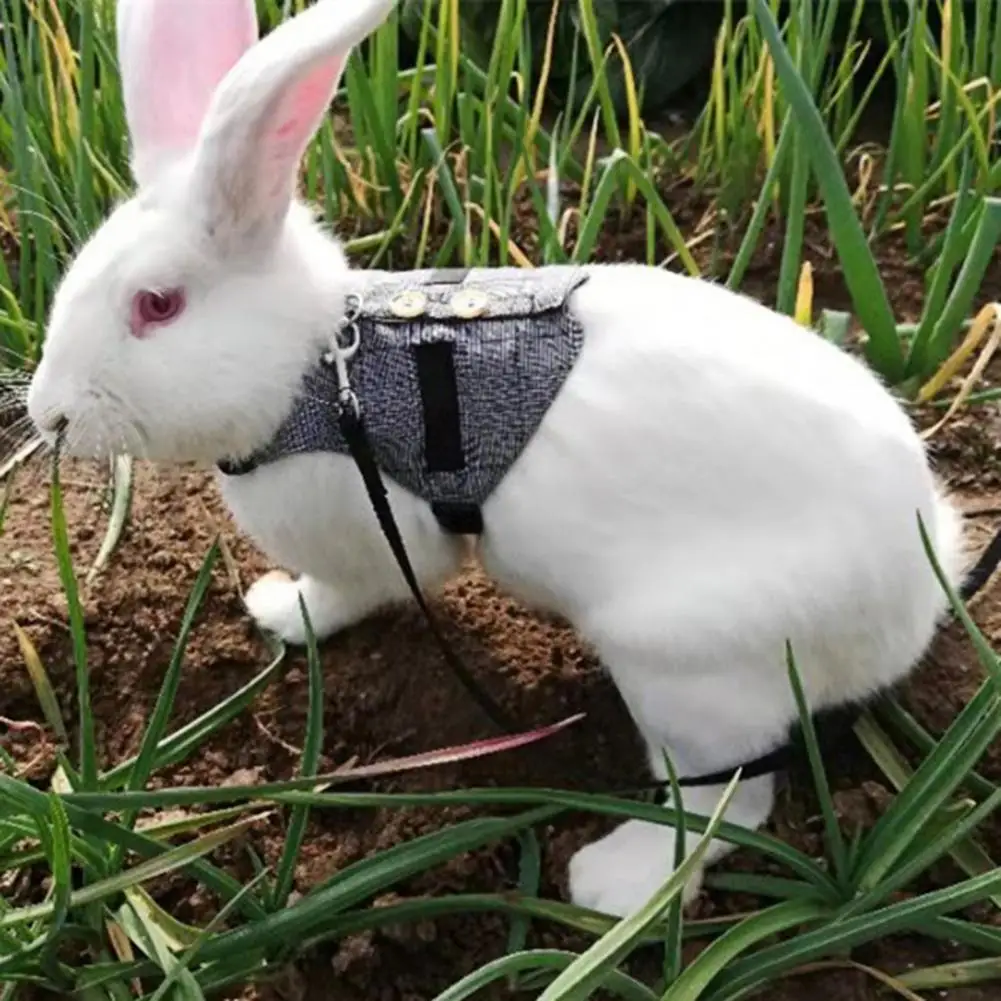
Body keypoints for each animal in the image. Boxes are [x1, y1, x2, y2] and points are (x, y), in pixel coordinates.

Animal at [26, 0, 966, 919]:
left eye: (157, 305)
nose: (47, 412)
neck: (315, 367)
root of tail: (917, 593)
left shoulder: (373, 539)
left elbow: (344, 593)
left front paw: (281, 612)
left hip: (687, 669)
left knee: (723, 802)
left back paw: (611, 883)